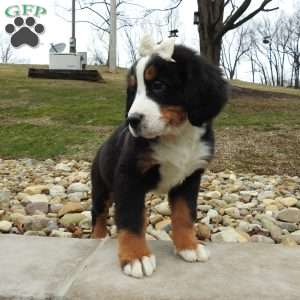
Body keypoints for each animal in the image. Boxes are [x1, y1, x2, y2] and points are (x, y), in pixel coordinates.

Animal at [91, 36, 227, 278]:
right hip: (101, 187)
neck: (177, 137)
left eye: (158, 85)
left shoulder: (190, 178)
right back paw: (98, 237)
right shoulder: (128, 177)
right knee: (98, 214)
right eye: (133, 90)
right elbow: (131, 218)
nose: (132, 120)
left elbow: (184, 214)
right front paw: (136, 257)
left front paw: (189, 246)